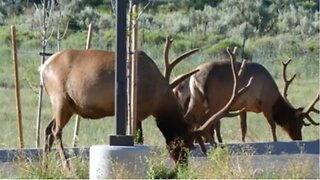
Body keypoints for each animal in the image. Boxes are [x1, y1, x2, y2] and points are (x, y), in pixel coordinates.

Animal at [184, 52, 318, 143]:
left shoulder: (243, 107)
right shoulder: (266, 103)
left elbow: (243, 128)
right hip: (214, 102)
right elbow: (272, 125)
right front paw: (275, 140)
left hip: (196, 99)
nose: (299, 138)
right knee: (203, 121)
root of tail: (195, 77)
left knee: (191, 118)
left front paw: (243, 141)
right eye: (299, 124)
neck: (275, 98)